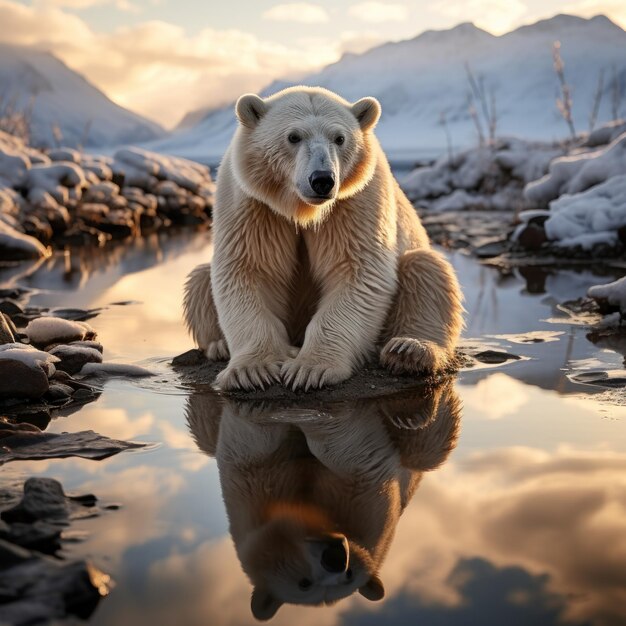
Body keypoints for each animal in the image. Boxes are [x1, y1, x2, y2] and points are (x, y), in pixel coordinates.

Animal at [183, 86, 460, 390]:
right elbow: (250, 269)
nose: (322, 179)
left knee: (425, 269)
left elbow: (358, 271)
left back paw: (408, 349)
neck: (302, 208)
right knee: (200, 277)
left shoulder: (355, 199)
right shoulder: (252, 202)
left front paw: (309, 369)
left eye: (339, 138)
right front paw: (252, 370)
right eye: (293, 136)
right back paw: (219, 345)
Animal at [185, 380, 458, 620]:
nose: (335, 557)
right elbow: (253, 445)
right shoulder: (253, 493)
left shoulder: (367, 507)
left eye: (350, 575)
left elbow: (355, 459)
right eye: (303, 583)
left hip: (424, 448)